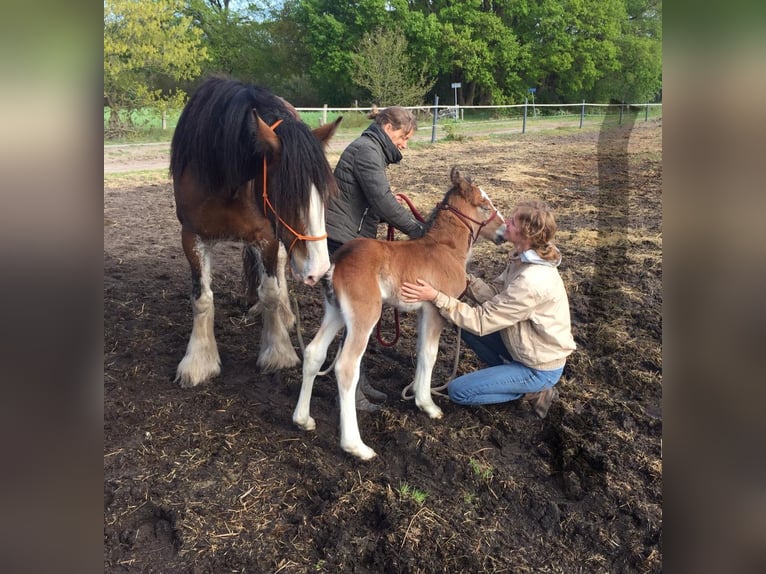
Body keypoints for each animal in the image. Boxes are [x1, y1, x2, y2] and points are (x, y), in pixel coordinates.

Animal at [172, 76, 344, 390]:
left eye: (325, 196)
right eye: (287, 195)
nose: (320, 269)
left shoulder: (267, 235)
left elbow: (271, 293)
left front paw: (278, 352)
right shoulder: (191, 237)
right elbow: (202, 298)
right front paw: (199, 360)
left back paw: (285, 316)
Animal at [296, 169, 510, 462]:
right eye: (485, 206)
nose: (504, 231)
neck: (444, 248)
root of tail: (339, 259)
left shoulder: (423, 310)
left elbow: (421, 352)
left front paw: (418, 397)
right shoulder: (435, 311)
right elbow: (430, 354)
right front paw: (429, 405)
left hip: (335, 311)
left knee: (314, 352)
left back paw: (303, 419)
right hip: (365, 315)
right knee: (346, 366)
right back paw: (357, 447)